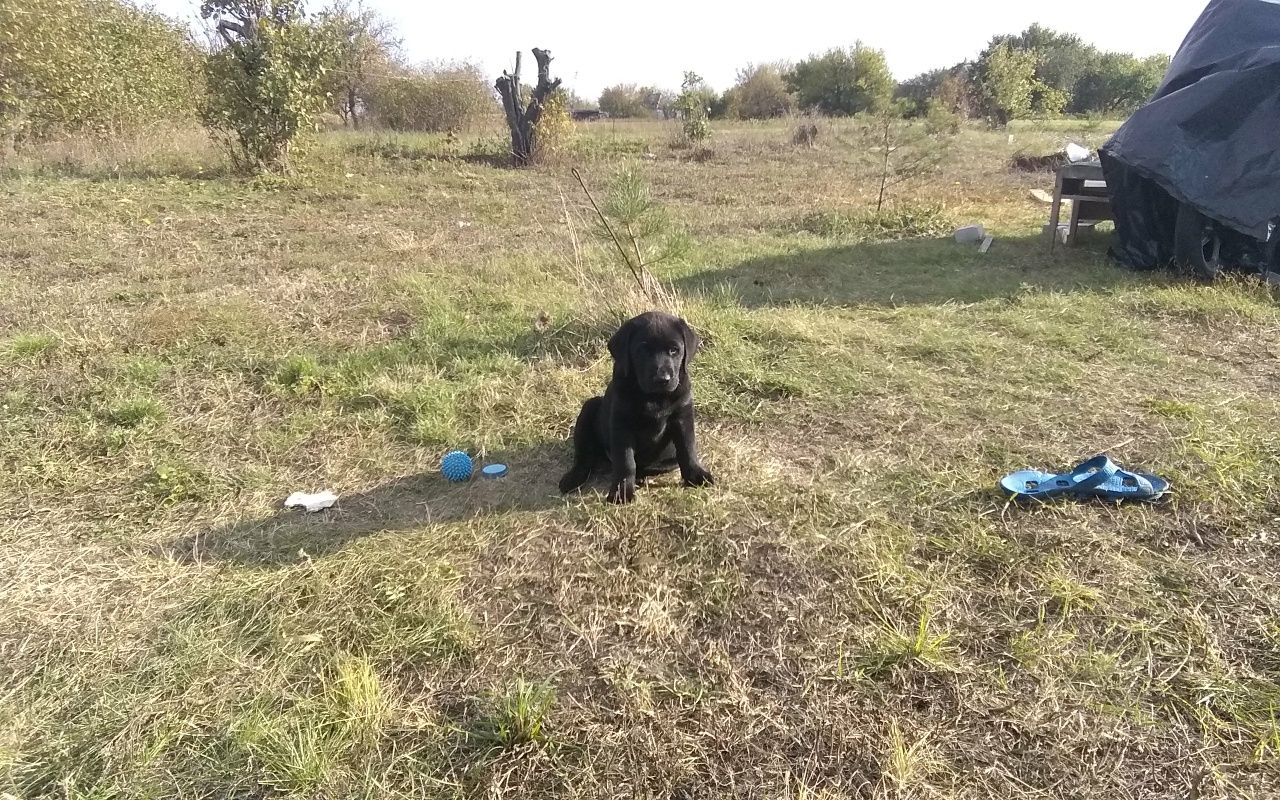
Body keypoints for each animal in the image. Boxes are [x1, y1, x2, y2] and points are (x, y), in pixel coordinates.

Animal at [558, 311, 711, 501]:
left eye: (674, 350)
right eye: (642, 351)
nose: (662, 379)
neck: (654, 397)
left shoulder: (683, 416)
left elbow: (688, 450)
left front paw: (696, 475)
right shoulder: (622, 424)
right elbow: (626, 461)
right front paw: (622, 491)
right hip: (589, 407)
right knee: (584, 457)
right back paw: (573, 478)